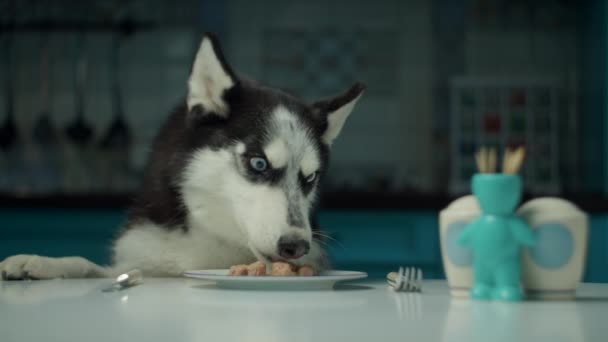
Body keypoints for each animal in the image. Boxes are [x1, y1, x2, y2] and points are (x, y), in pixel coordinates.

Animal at [0, 33, 364, 280]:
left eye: (310, 178)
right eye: (258, 163)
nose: (296, 246)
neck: (213, 234)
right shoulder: (140, 259)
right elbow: (91, 265)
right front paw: (41, 262)